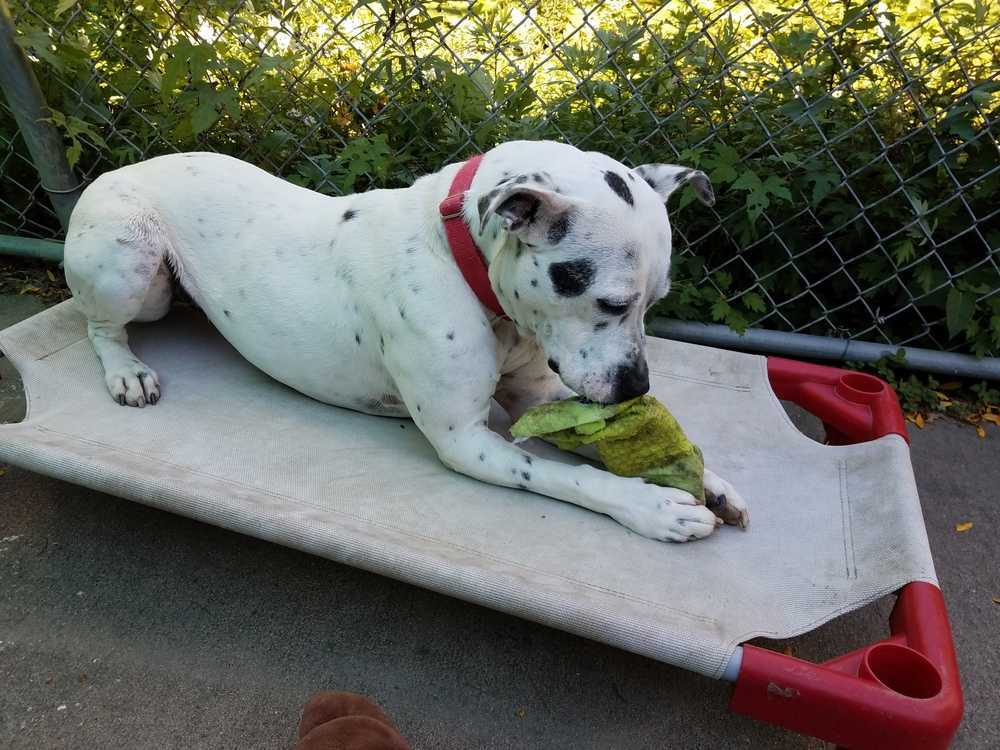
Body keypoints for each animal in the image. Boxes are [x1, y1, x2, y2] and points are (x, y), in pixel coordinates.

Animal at [62, 140, 748, 540]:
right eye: (610, 302)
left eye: (655, 303)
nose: (636, 387)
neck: (457, 253)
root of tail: (118, 168)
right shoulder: (465, 441)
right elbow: (566, 478)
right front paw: (652, 508)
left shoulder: (541, 397)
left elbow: (596, 440)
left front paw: (710, 480)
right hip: (130, 265)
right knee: (101, 325)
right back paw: (125, 370)